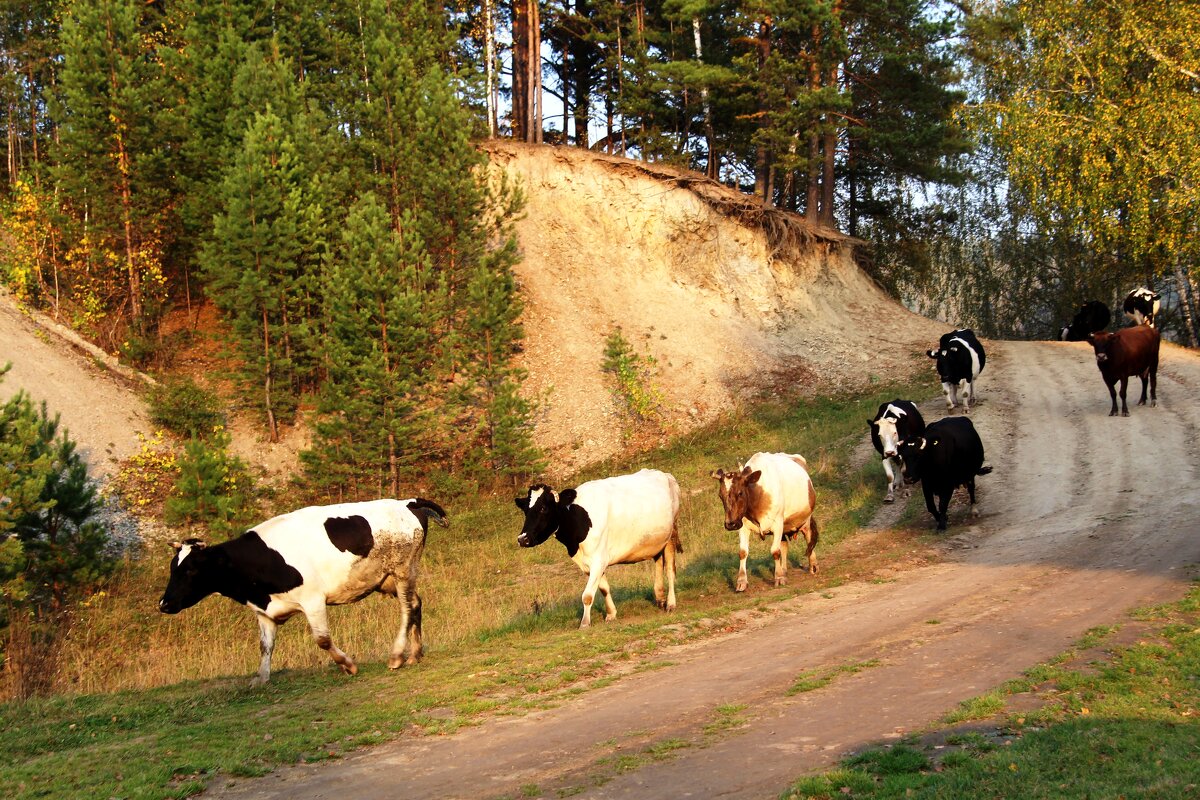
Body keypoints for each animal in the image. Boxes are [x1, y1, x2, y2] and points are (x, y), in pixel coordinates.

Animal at [157, 496, 444, 686]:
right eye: (173, 568)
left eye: (190, 570)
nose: (164, 603)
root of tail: (409, 502)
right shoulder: (265, 611)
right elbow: (265, 646)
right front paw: (261, 678)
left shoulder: (313, 599)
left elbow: (322, 640)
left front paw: (347, 664)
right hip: (387, 579)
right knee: (416, 603)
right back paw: (415, 654)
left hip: (403, 569)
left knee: (407, 609)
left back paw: (397, 655)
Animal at [705, 453, 820, 592]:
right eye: (720, 495)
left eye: (740, 492)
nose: (730, 524)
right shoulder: (742, 526)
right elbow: (743, 552)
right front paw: (741, 582)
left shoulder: (777, 523)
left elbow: (775, 551)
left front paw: (778, 578)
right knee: (784, 545)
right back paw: (784, 570)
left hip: (805, 518)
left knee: (809, 538)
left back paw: (813, 565)